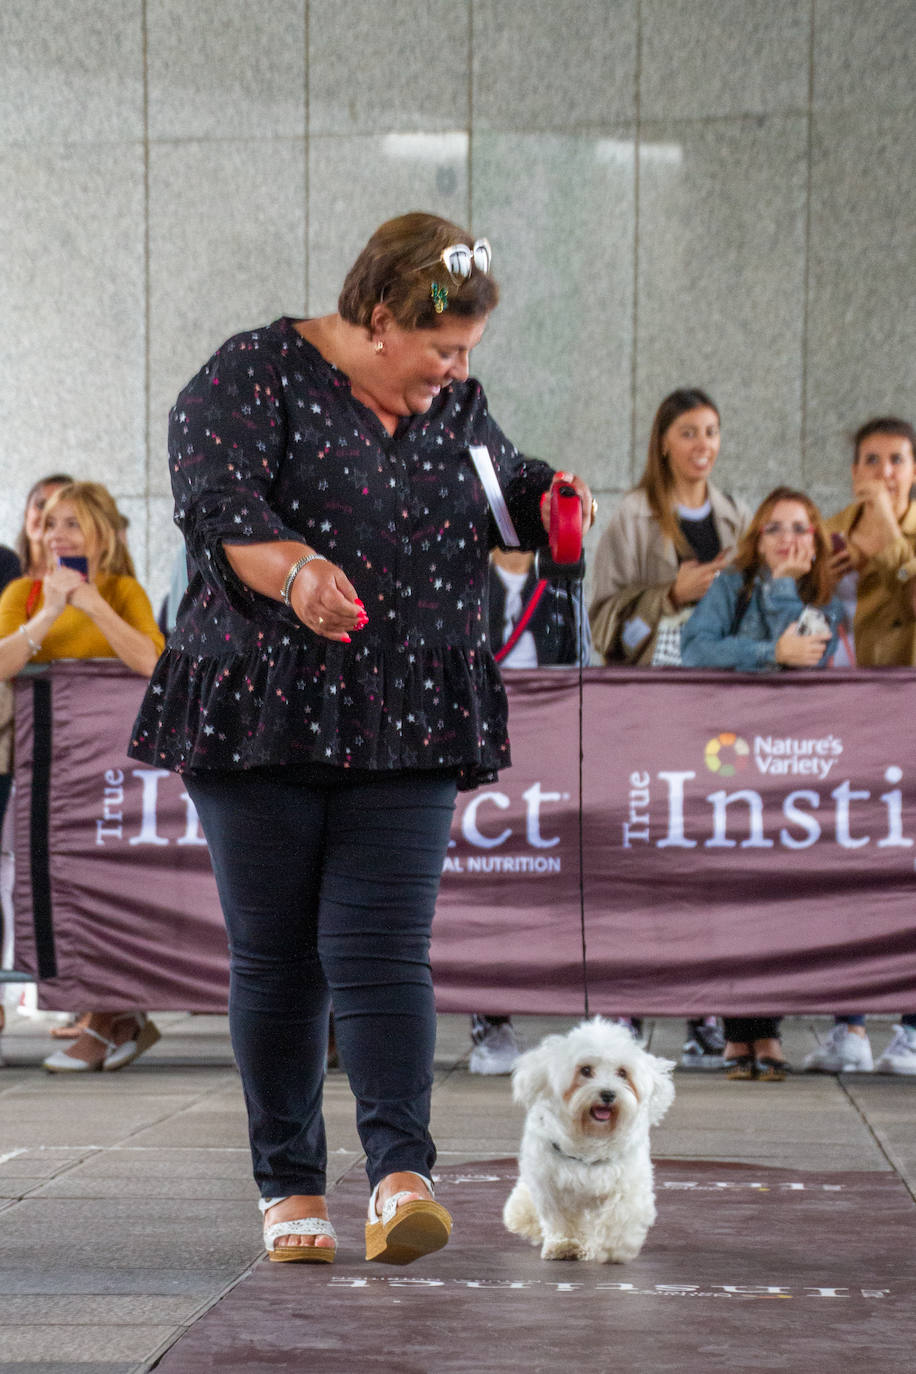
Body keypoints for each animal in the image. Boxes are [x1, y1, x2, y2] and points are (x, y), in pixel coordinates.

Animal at [502, 1016, 672, 1258]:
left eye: (622, 1073)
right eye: (585, 1070)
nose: (608, 1094)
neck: (590, 1138)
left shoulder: (627, 1183)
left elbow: (620, 1214)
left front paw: (613, 1248)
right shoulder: (551, 1187)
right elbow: (560, 1219)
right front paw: (564, 1244)